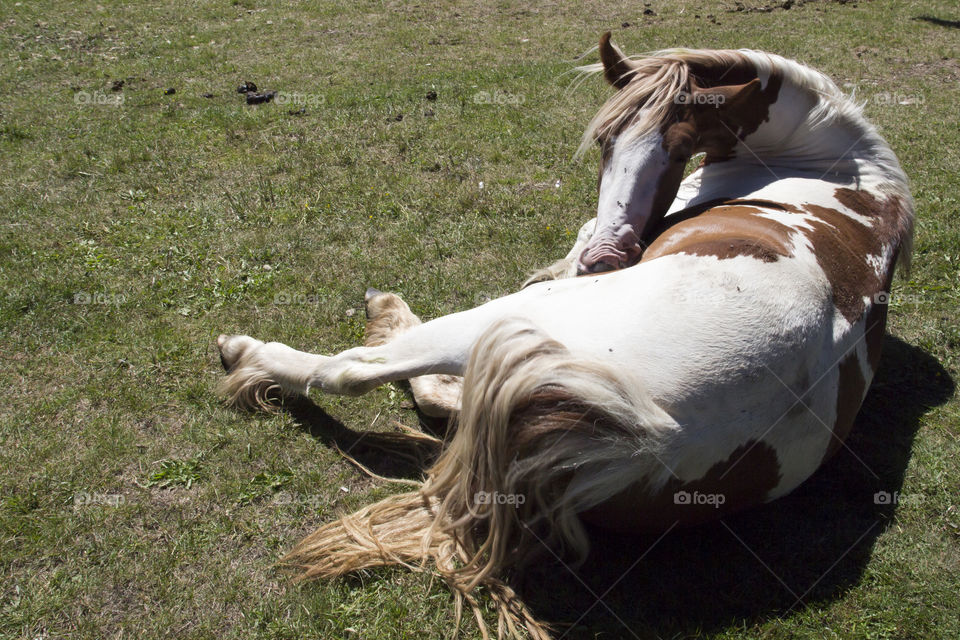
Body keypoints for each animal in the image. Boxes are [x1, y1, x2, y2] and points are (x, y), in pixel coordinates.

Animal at [216, 33, 914, 638]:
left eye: (682, 148)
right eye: (605, 141)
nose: (611, 256)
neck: (833, 165)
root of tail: (650, 433)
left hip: (500, 326)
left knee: (361, 369)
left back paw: (271, 349)